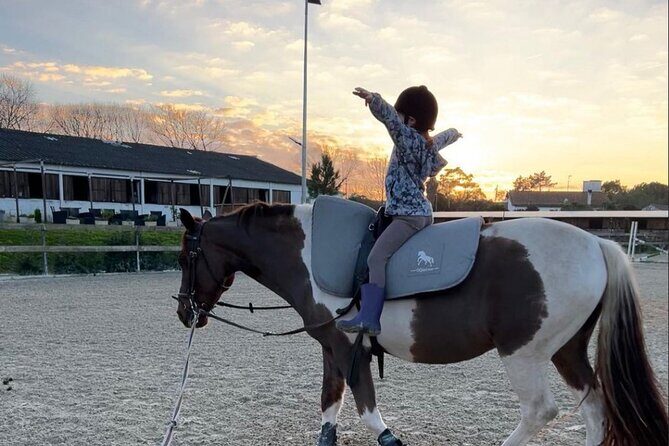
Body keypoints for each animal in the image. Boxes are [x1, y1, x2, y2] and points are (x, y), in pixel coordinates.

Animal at [174, 203, 667, 446]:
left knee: (540, 411)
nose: (184, 312)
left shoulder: (348, 348)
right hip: (567, 352)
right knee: (594, 408)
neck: (309, 251)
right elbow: (329, 407)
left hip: (523, 355)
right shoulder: (332, 348)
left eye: (185, 257)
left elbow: (368, 413)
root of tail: (597, 244)